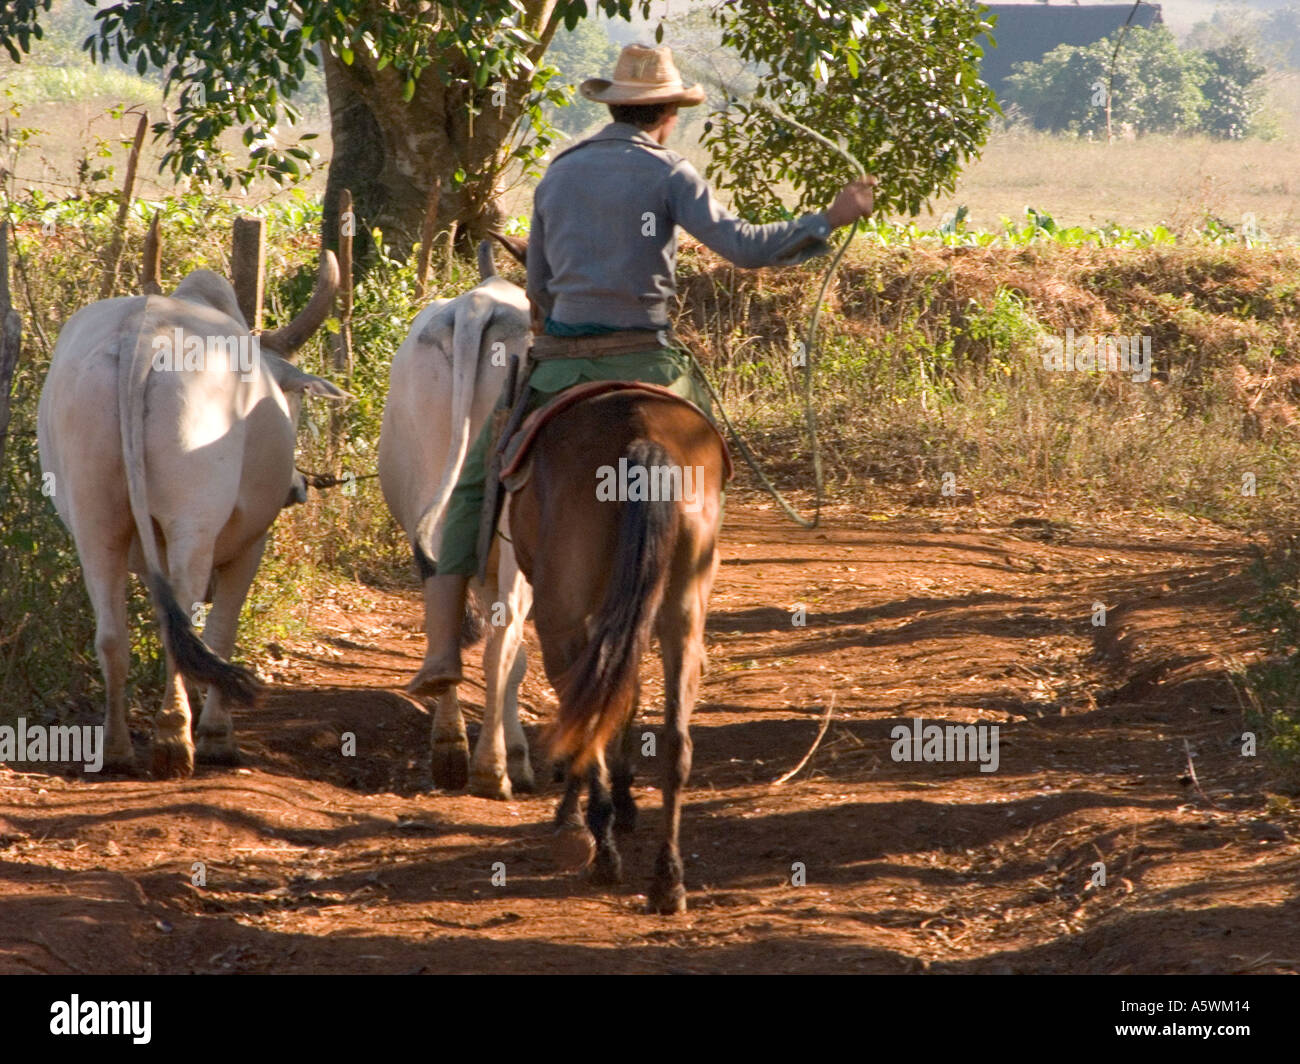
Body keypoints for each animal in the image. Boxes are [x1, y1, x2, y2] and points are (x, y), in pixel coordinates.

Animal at [506, 382, 728, 910]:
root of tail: (639, 433)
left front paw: (576, 815)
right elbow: (628, 695)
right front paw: (624, 802)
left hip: (559, 621)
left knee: (585, 716)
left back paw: (600, 850)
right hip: (683, 615)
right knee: (675, 740)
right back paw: (668, 879)